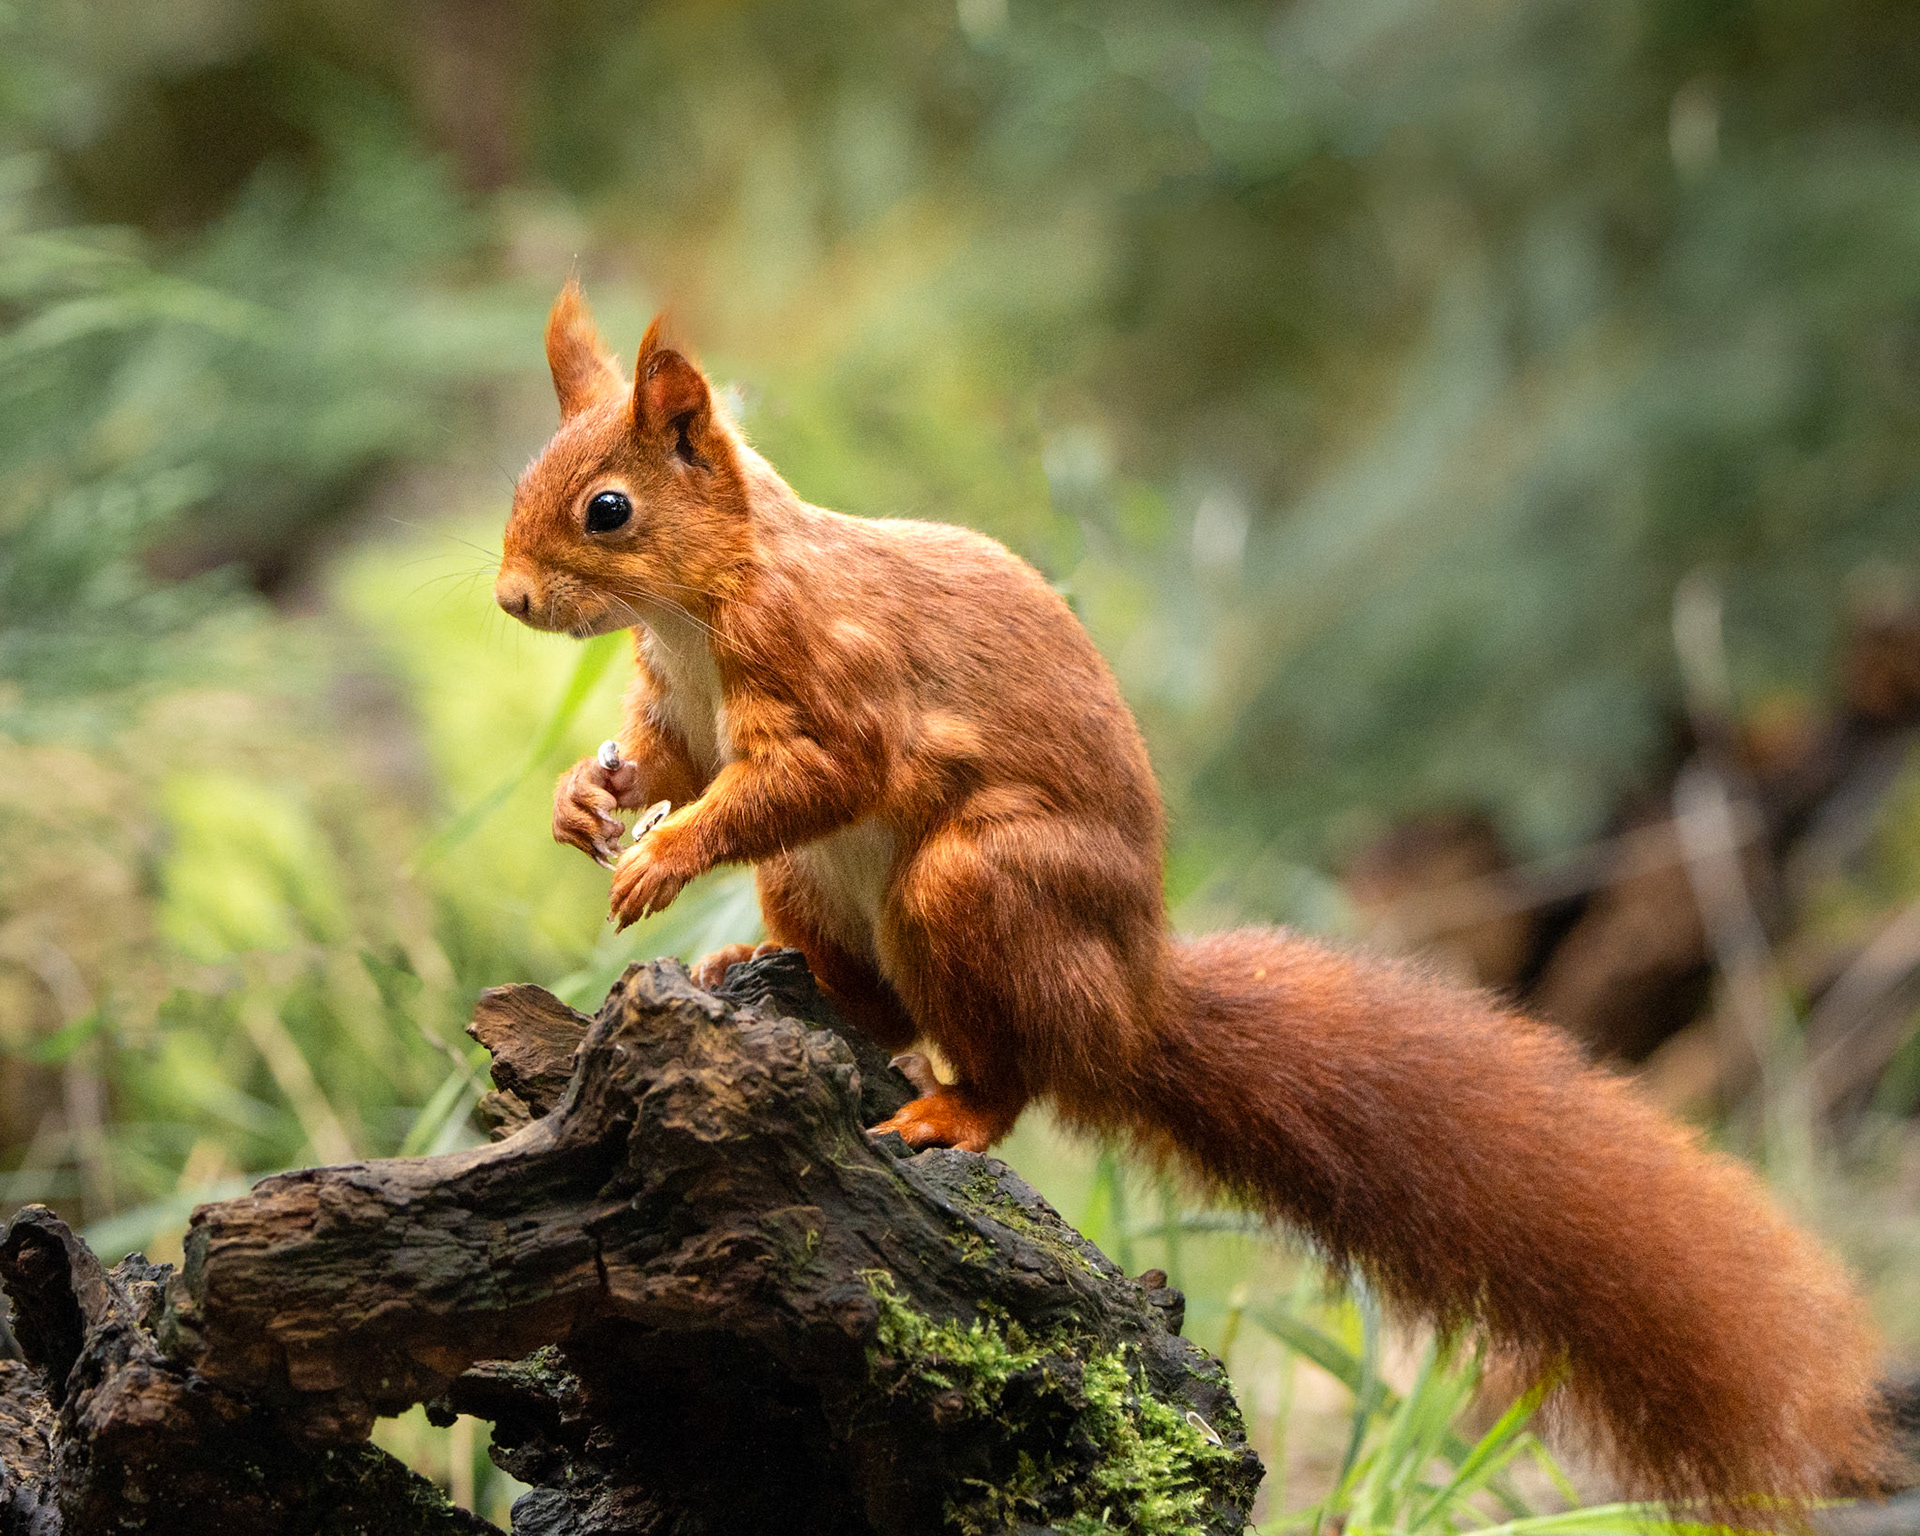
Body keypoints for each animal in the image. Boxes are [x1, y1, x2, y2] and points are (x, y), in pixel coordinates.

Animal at [494, 279, 1895, 1511]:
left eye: (609, 509)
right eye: (523, 482)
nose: (508, 598)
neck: (698, 609)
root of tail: (1125, 1002)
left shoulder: (834, 685)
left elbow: (810, 776)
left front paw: (663, 857)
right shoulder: (683, 706)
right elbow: (670, 762)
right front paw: (584, 801)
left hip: (977, 884)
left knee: (1003, 1067)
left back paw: (951, 1112)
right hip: (828, 893)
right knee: (885, 1013)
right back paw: (769, 976)